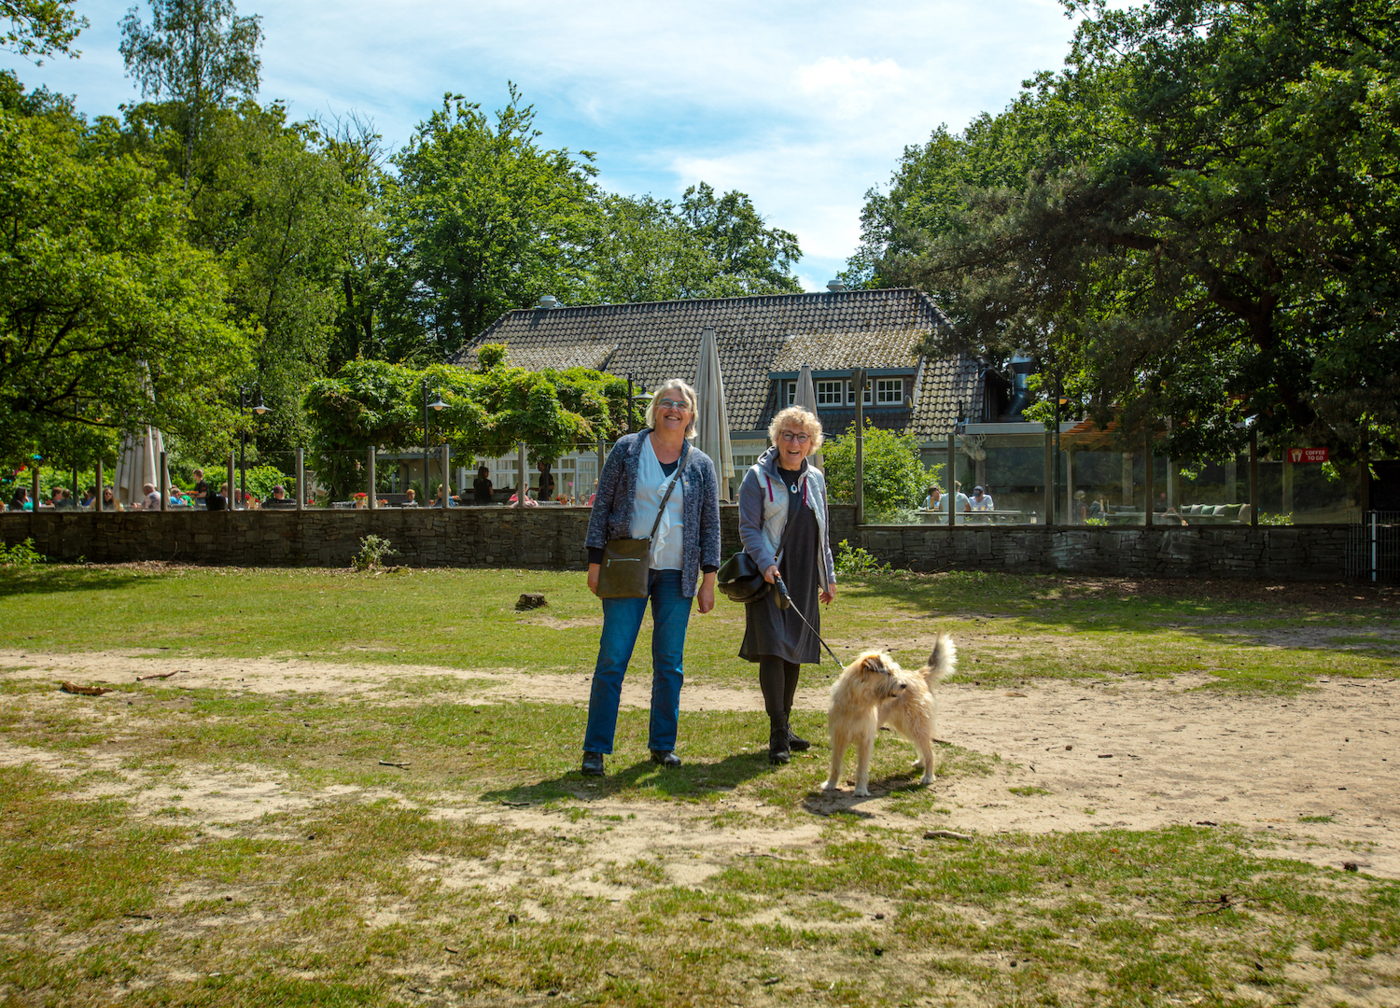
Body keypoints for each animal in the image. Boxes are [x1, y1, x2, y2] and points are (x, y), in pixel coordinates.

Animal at [823, 638, 957, 795]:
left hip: (915, 725)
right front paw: (830, 784)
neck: (856, 704)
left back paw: (928, 776)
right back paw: (921, 763)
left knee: (929, 751)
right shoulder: (839, 737)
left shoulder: (865, 739)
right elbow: (835, 764)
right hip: (907, 726)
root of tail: (919, 675)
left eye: (894, 671)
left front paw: (861, 790)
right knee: (923, 746)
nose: (903, 685)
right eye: (887, 672)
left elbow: (861, 768)